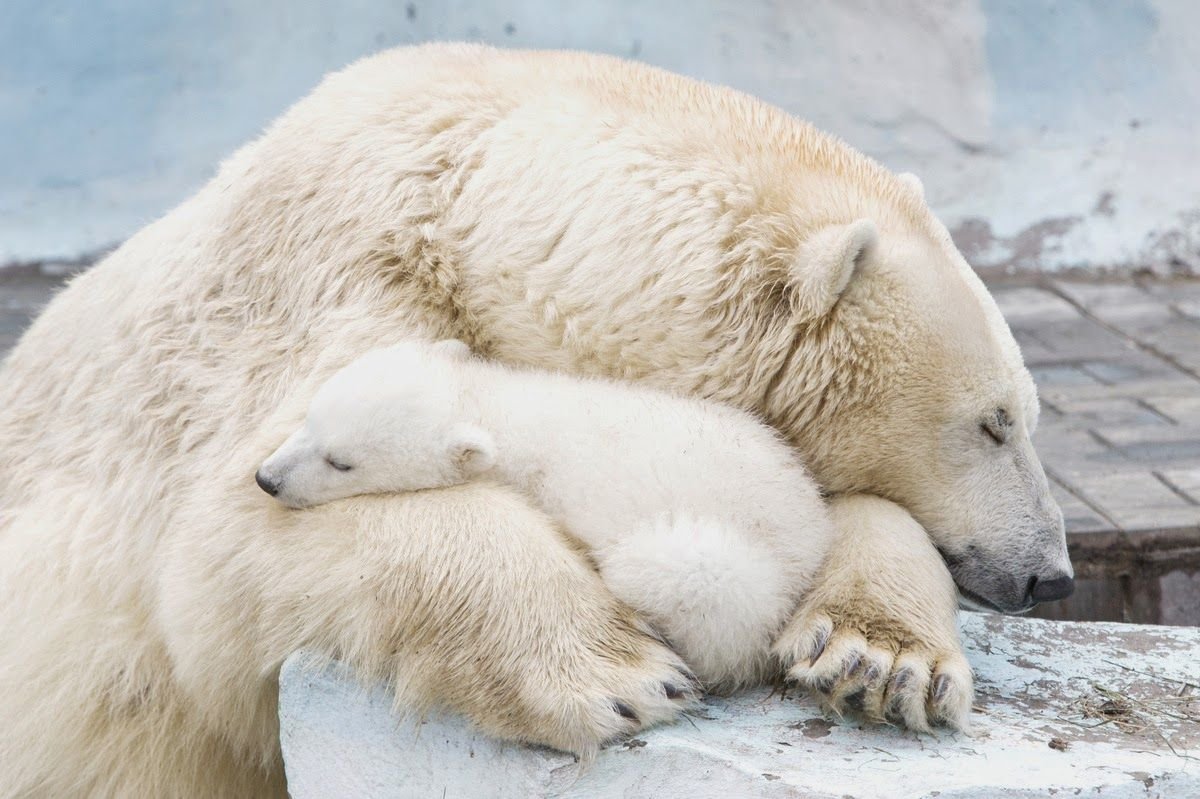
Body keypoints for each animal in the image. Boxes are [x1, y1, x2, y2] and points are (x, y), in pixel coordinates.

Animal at [255, 338, 835, 690]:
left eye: (341, 461)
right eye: (309, 420)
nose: (267, 479)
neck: (493, 408)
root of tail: (812, 546)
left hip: (732, 570)